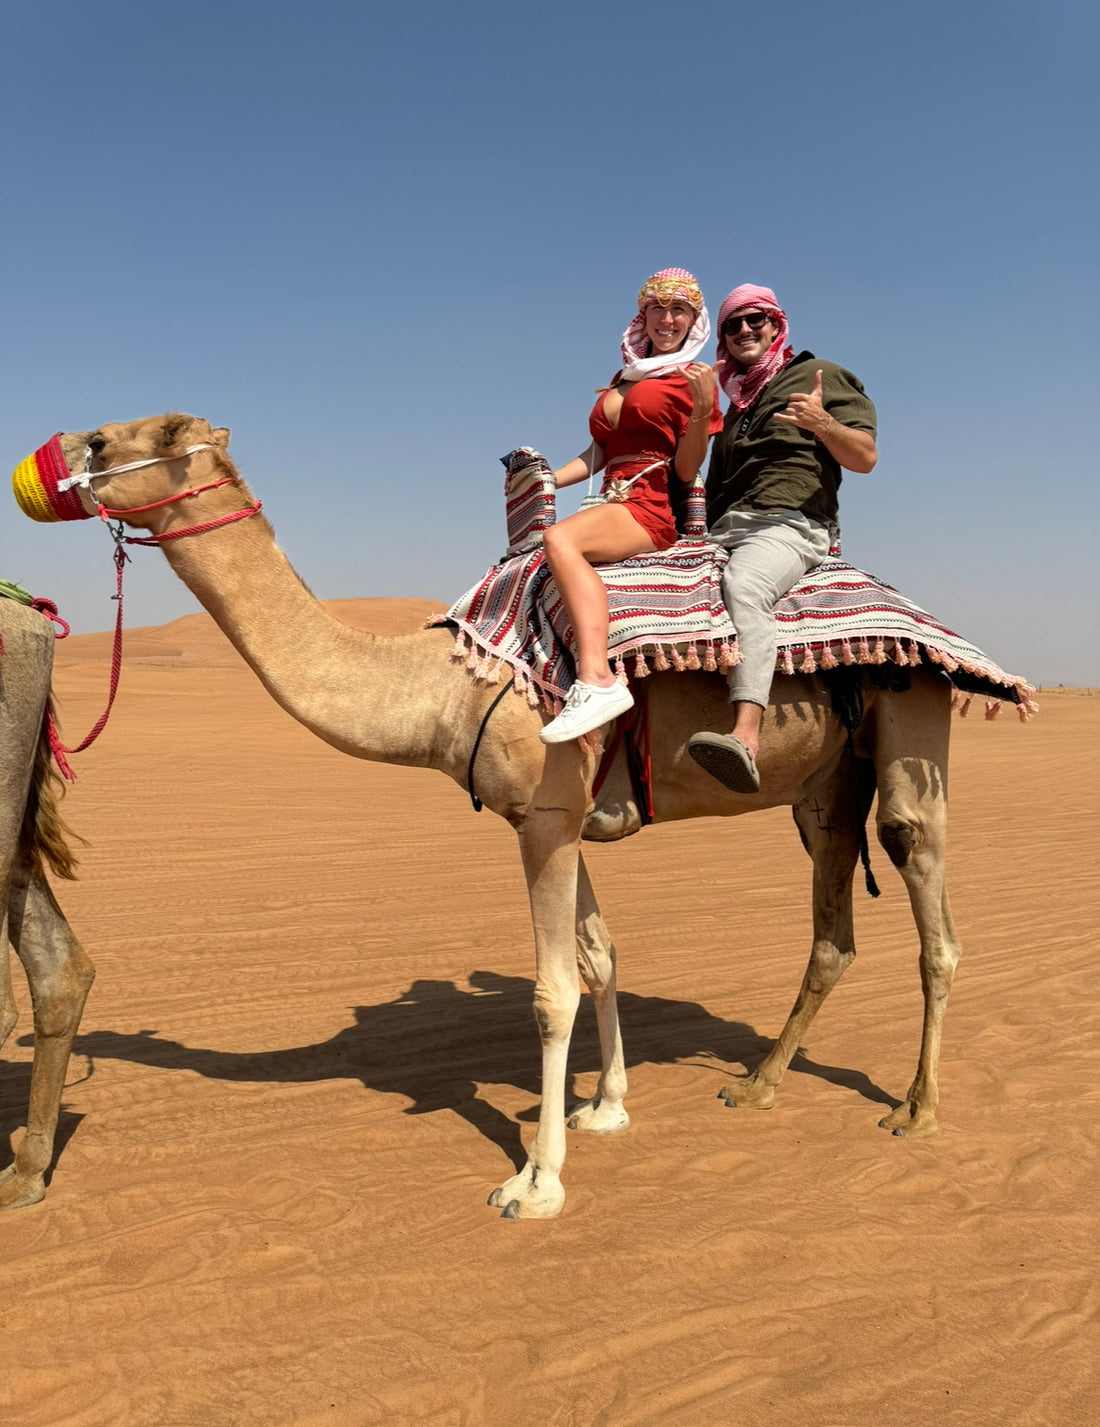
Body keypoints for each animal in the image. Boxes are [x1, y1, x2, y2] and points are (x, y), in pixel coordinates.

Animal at [40, 413, 964, 1218]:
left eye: (116, 440)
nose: (49, 460)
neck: (451, 682)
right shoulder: (562, 817)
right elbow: (600, 957)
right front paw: (607, 1106)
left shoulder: (546, 815)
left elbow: (553, 990)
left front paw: (537, 1180)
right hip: (826, 786)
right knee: (832, 930)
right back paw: (759, 1083)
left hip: (913, 718)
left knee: (925, 890)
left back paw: (917, 1107)